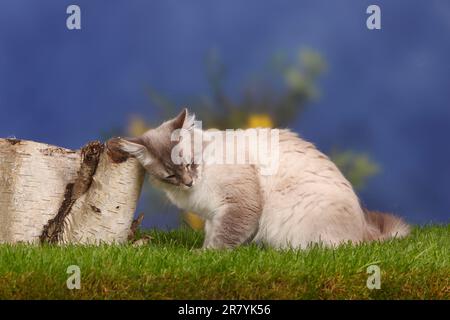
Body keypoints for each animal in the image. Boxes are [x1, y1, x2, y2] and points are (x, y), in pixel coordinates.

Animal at [117, 109, 412, 249]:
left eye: (190, 164)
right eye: (171, 176)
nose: (189, 182)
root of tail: (366, 231)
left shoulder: (237, 205)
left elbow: (222, 239)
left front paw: (201, 256)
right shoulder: (214, 215)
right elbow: (214, 234)